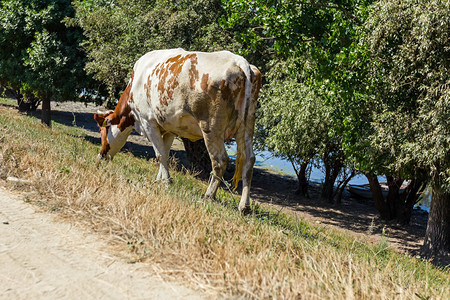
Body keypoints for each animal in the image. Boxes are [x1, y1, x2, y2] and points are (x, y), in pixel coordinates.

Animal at [95, 48, 262, 211]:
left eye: (103, 132)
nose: (100, 155)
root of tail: (240, 62)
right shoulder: (169, 128)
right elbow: (165, 152)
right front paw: (160, 179)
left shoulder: (148, 122)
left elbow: (160, 155)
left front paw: (167, 181)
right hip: (247, 126)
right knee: (249, 160)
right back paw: (244, 206)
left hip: (211, 127)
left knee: (220, 160)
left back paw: (209, 196)